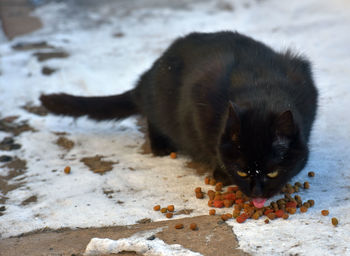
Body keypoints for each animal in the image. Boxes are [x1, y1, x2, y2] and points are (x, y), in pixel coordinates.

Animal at [40, 31, 318, 208]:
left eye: (272, 172)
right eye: (240, 170)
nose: (256, 192)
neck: (261, 90)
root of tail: (145, 80)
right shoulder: (198, 101)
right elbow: (211, 145)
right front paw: (220, 172)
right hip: (162, 103)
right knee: (153, 118)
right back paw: (161, 146)